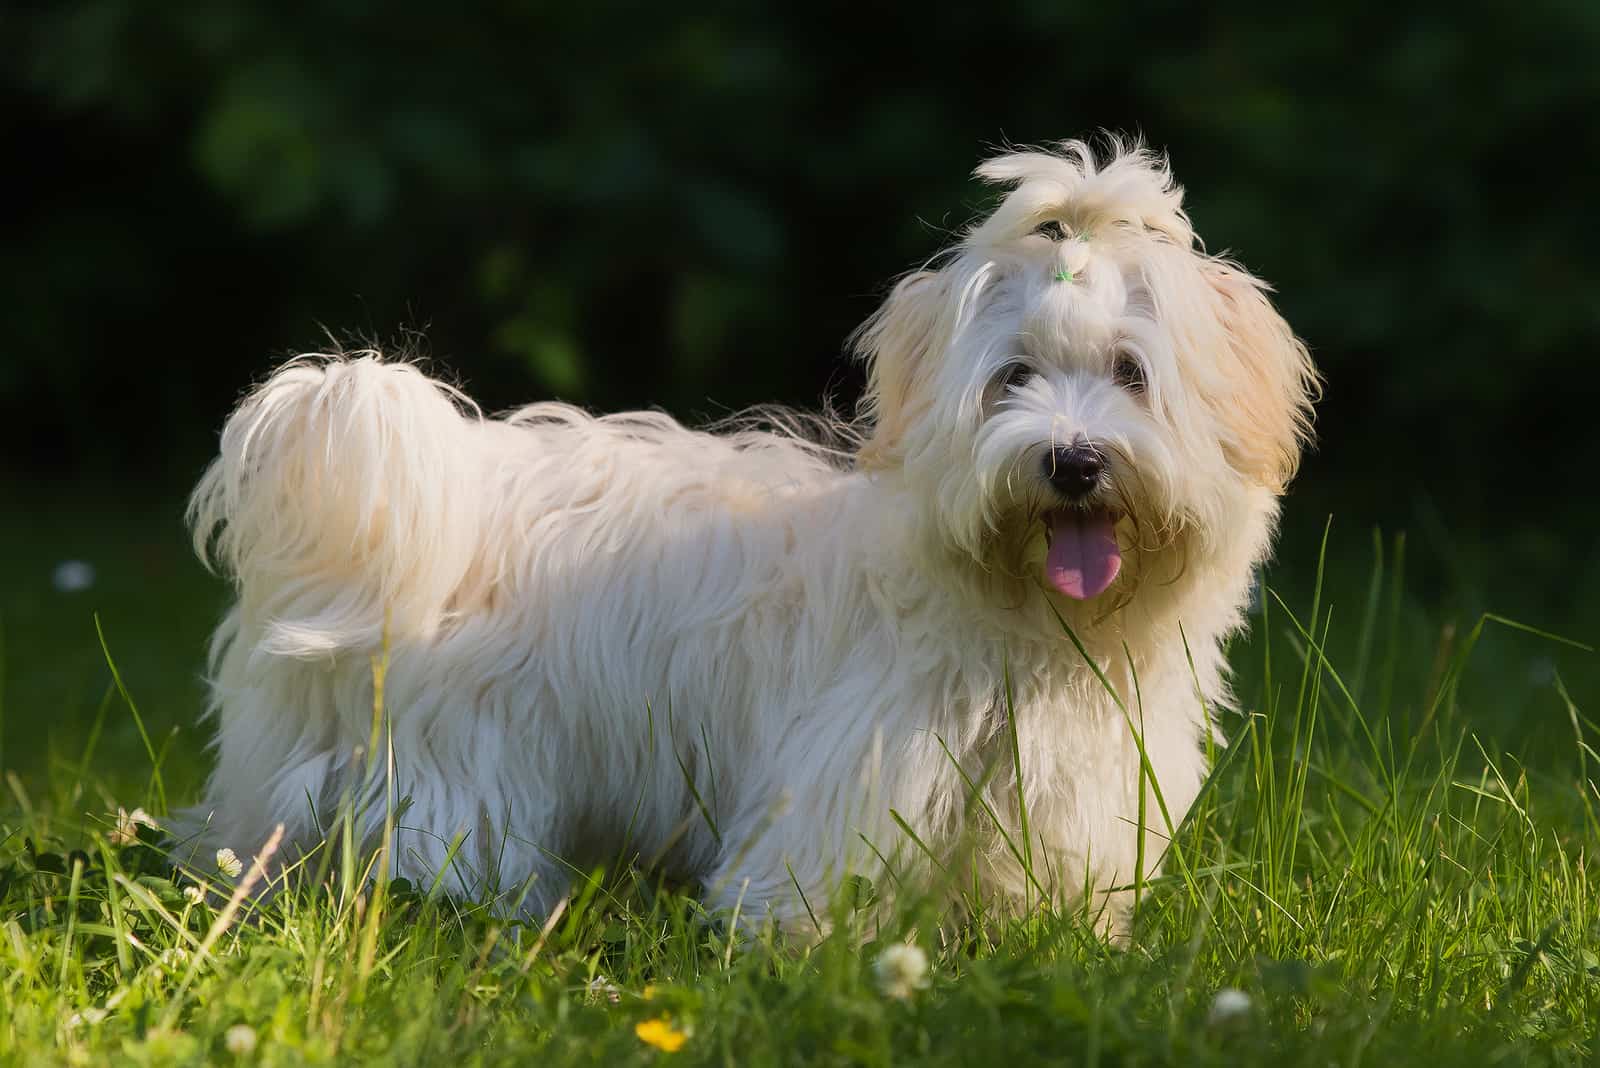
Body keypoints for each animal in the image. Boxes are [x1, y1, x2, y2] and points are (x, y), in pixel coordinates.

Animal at [181, 135, 1318, 933]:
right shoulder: (856, 768)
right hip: (452, 758)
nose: (1072, 462)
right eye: (1013, 378)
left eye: (1131, 373)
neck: (1019, 617)